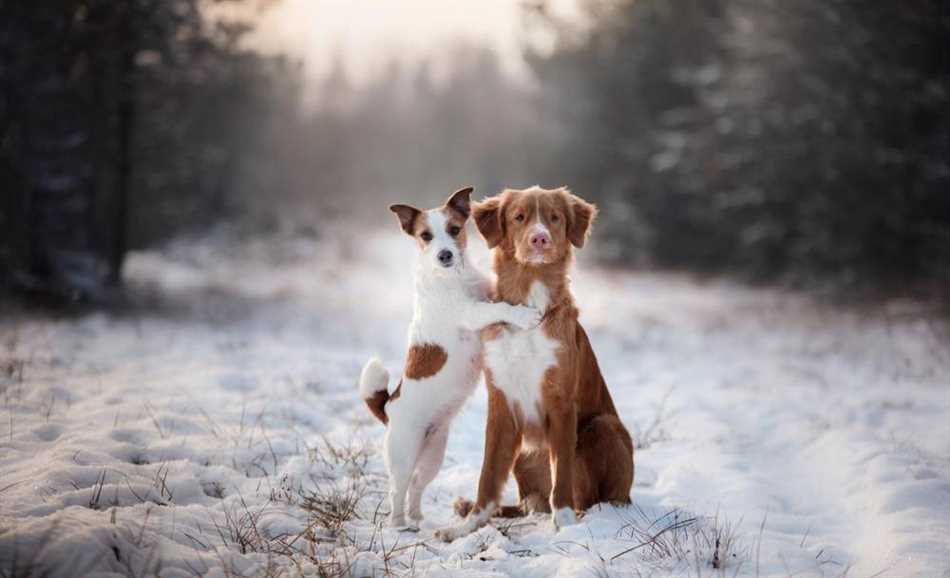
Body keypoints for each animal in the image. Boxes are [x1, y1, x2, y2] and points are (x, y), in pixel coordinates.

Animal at [358, 186, 544, 528]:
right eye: (425, 236)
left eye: (454, 230)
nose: (444, 255)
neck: (453, 278)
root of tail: (388, 408)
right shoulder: (472, 313)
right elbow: (498, 308)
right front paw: (524, 316)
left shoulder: (484, 293)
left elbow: (495, 295)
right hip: (403, 455)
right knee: (397, 490)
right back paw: (399, 525)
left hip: (433, 454)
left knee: (417, 486)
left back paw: (418, 518)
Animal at [436, 186, 632, 540]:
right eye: (519, 217)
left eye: (554, 217)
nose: (539, 238)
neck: (529, 307)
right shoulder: (500, 404)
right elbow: (487, 476)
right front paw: (468, 526)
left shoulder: (561, 401)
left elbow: (562, 475)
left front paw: (565, 524)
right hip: (525, 455)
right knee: (528, 503)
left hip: (604, 426)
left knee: (596, 494)